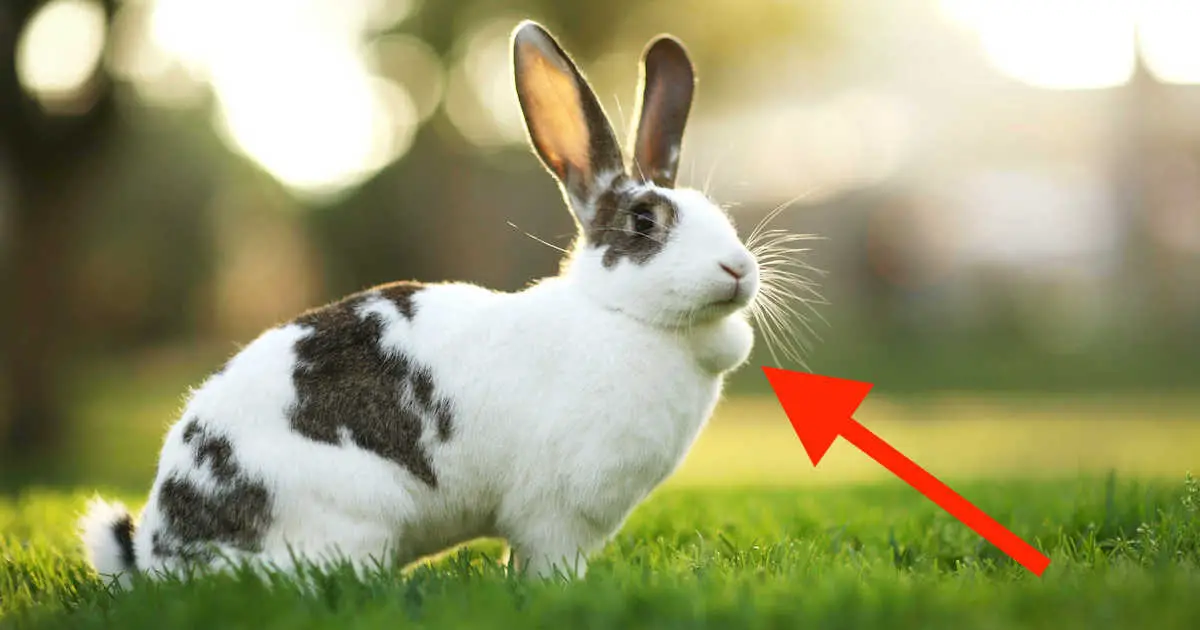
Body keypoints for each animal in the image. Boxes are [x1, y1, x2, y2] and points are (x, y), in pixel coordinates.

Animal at [79, 20, 761, 587]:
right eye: (644, 221)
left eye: (717, 212)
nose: (739, 268)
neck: (621, 317)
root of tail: (162, 551)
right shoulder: (556, 517)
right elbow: (547, 564)